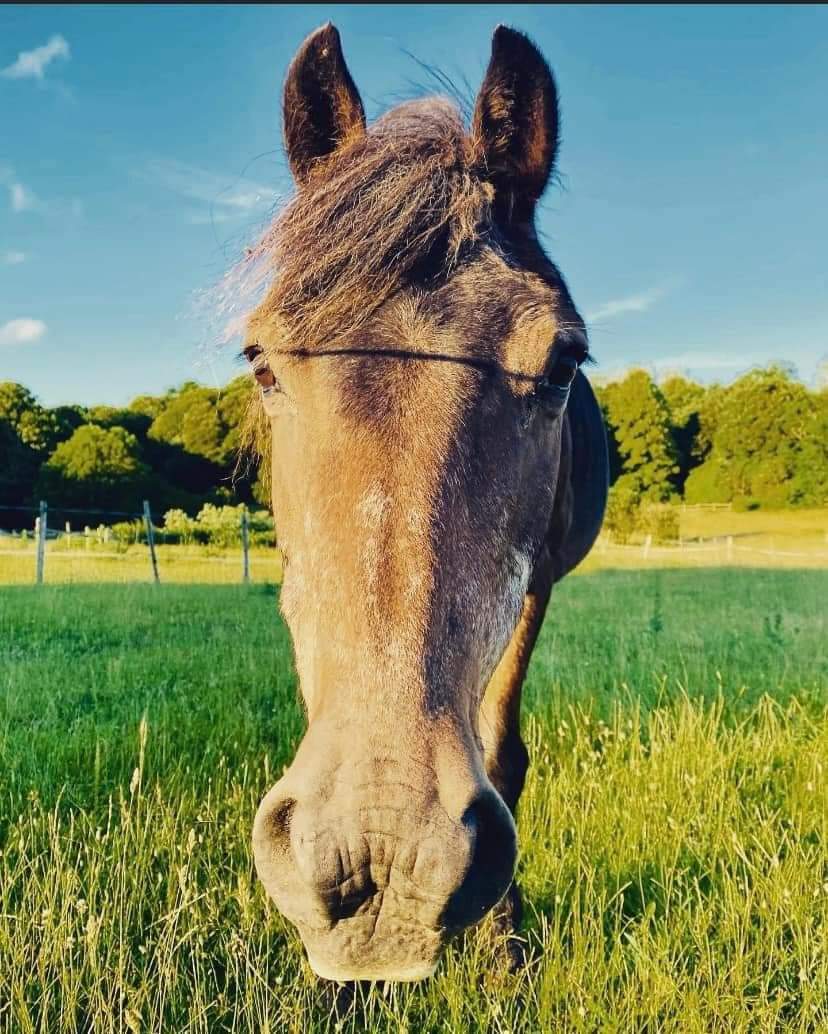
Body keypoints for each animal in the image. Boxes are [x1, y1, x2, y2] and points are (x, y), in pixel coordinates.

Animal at [244, 22, 608, 983]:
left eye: (561, 363)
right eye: (261, 363)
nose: (380, 856)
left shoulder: (537, 585)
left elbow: (503, 749)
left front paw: (507, 949)